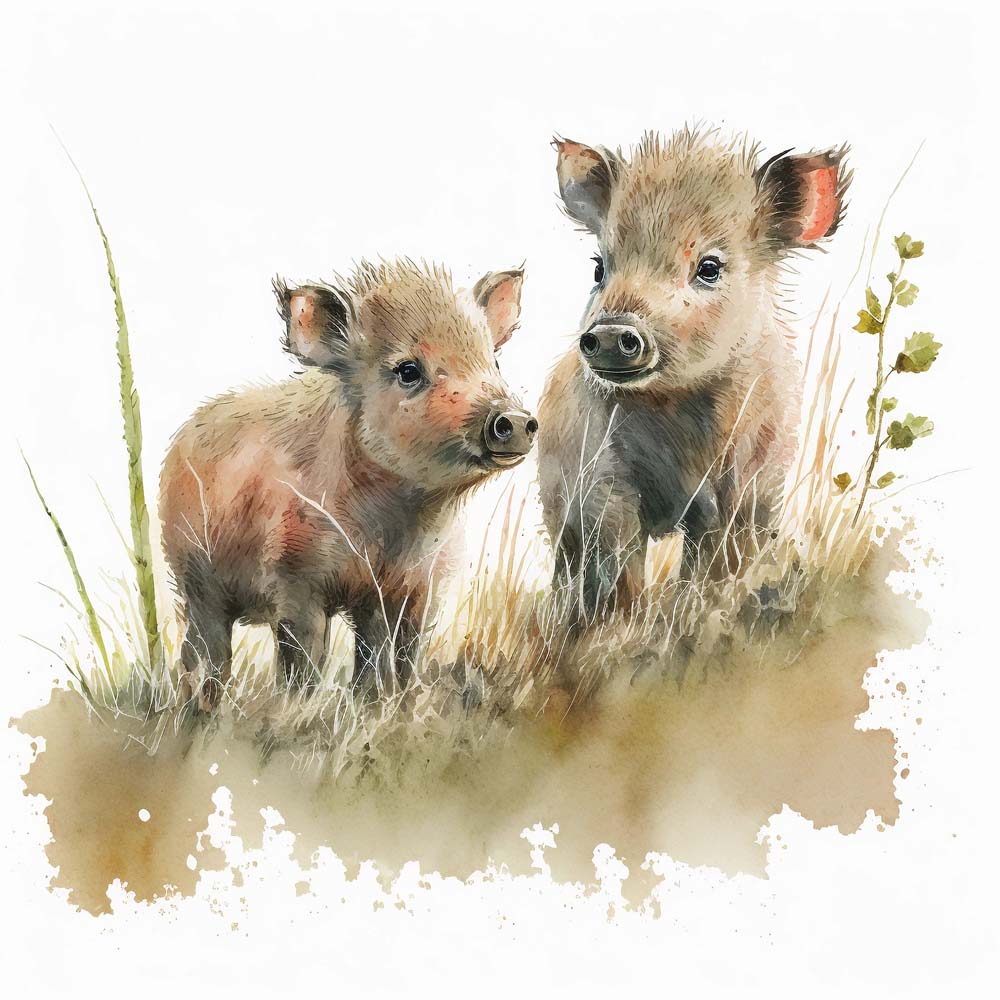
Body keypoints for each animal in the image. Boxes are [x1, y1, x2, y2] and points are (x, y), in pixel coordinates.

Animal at [160, 259, 536, 709]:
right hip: (194, 578)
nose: (513, 418)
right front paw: (299, 710)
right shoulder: (295, 579)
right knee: (204, 650)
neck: (398, 528)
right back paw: (200, 707)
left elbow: (398, 655)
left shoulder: (418, 587)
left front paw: (389, 707)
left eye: (492, 361)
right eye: (408, 370)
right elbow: (305, 655)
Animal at [538, 127, 850, 618]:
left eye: (709, 267)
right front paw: (621, 624)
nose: (610, 331)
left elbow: (726, 558)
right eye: (599, 267)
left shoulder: (756, 480)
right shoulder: (599, 482)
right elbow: (618, 564)